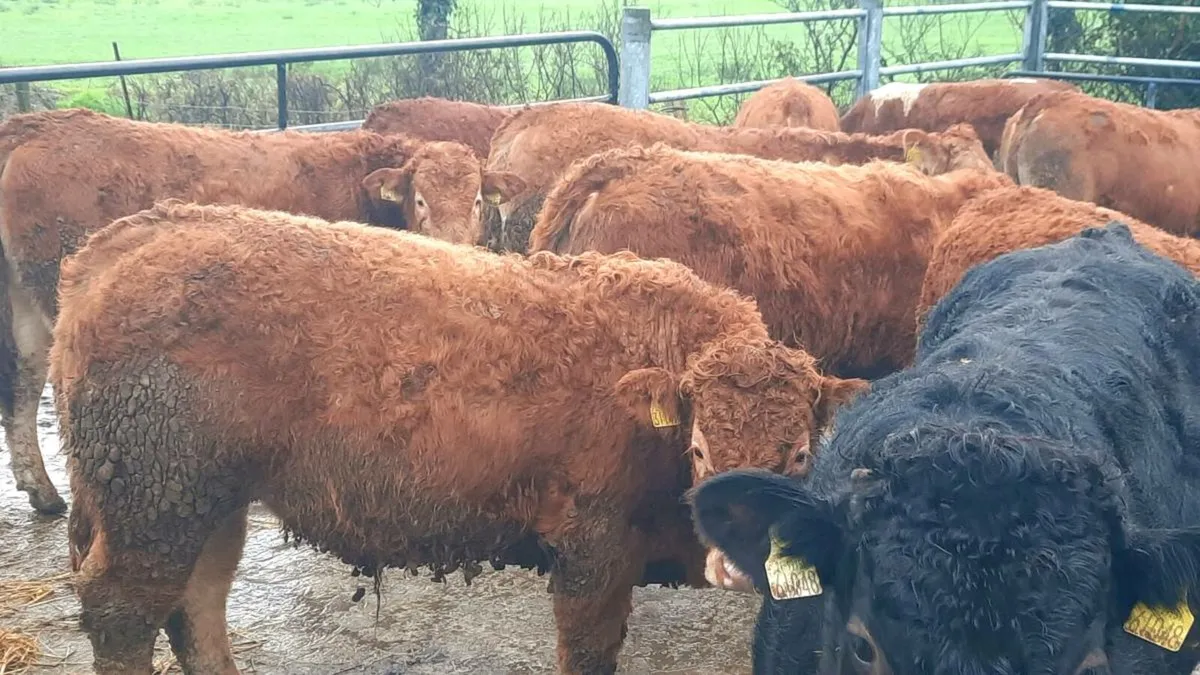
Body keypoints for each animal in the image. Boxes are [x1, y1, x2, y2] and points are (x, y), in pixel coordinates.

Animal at [51, 199, 867, 675]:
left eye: (798, 452)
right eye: (700, 448)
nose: (737, 560)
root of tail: (134, 235)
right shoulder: (593, 553)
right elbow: (588, 649)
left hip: (204, 502)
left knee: (196, 603)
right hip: (155, 504)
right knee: (124, 610)